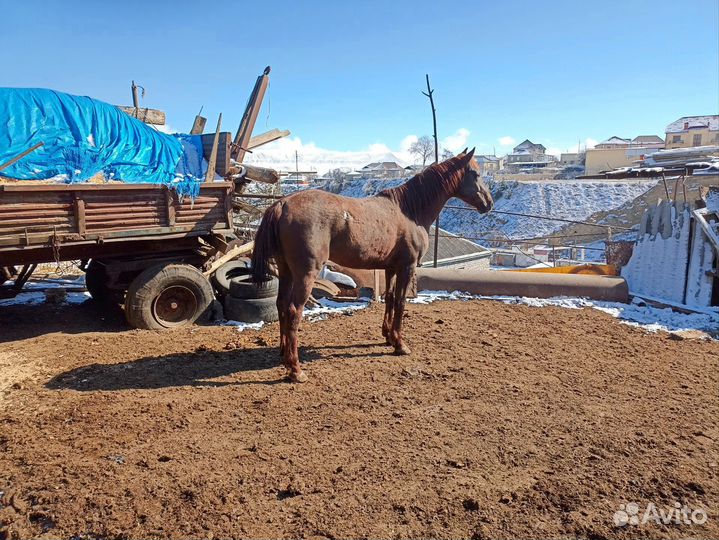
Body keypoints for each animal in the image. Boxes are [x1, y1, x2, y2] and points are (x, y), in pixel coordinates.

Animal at [250, 148, 492, 382]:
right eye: (475, 173)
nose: (489, 203)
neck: (409, 211)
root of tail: (282, 204)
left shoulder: (391, 268)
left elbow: (390, 299)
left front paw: (388, 337)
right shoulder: (407, 267)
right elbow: (401, 302)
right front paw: (400, 345)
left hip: (286, 271)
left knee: (281, 304)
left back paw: (284, 354)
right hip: (306, 274)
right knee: (293, 311)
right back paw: (295, 370)